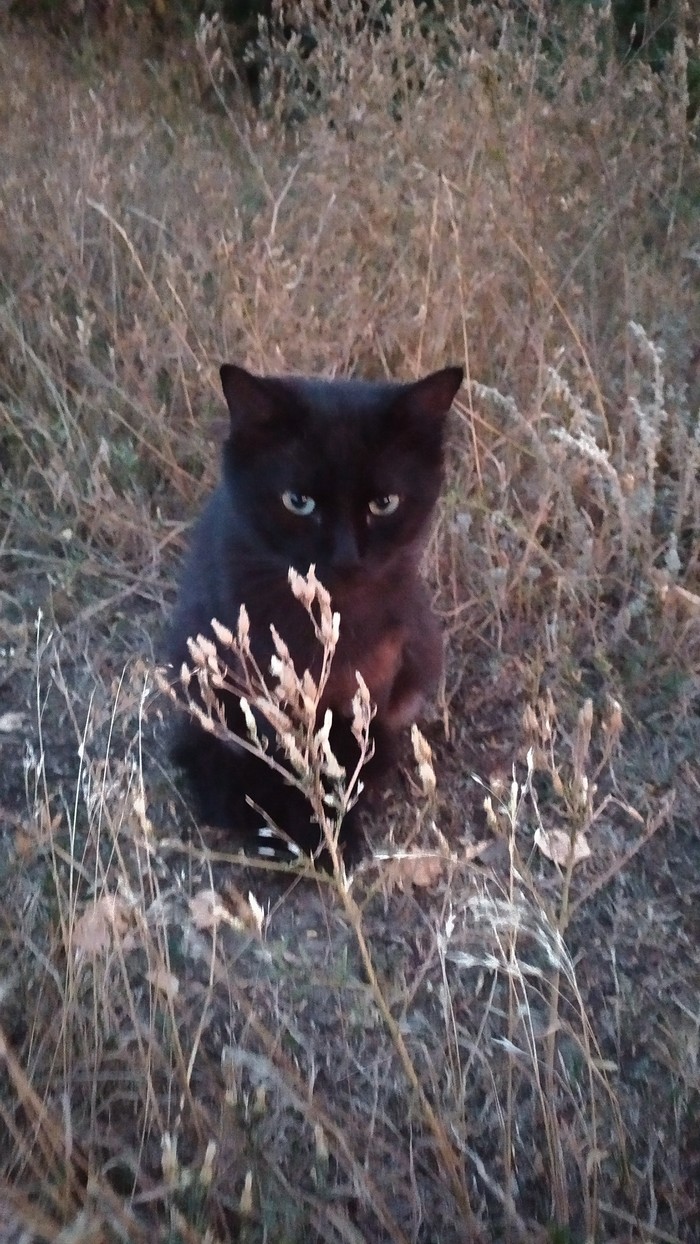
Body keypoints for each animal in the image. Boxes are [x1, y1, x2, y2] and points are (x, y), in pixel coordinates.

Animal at [169, 363, 462, 865]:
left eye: (384, 503)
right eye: (298, 501)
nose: (345, 557)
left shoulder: (367, 688)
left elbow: (340, 758)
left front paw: (330, 837)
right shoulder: (260, 694)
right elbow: (278, 762)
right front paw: (294, 835)